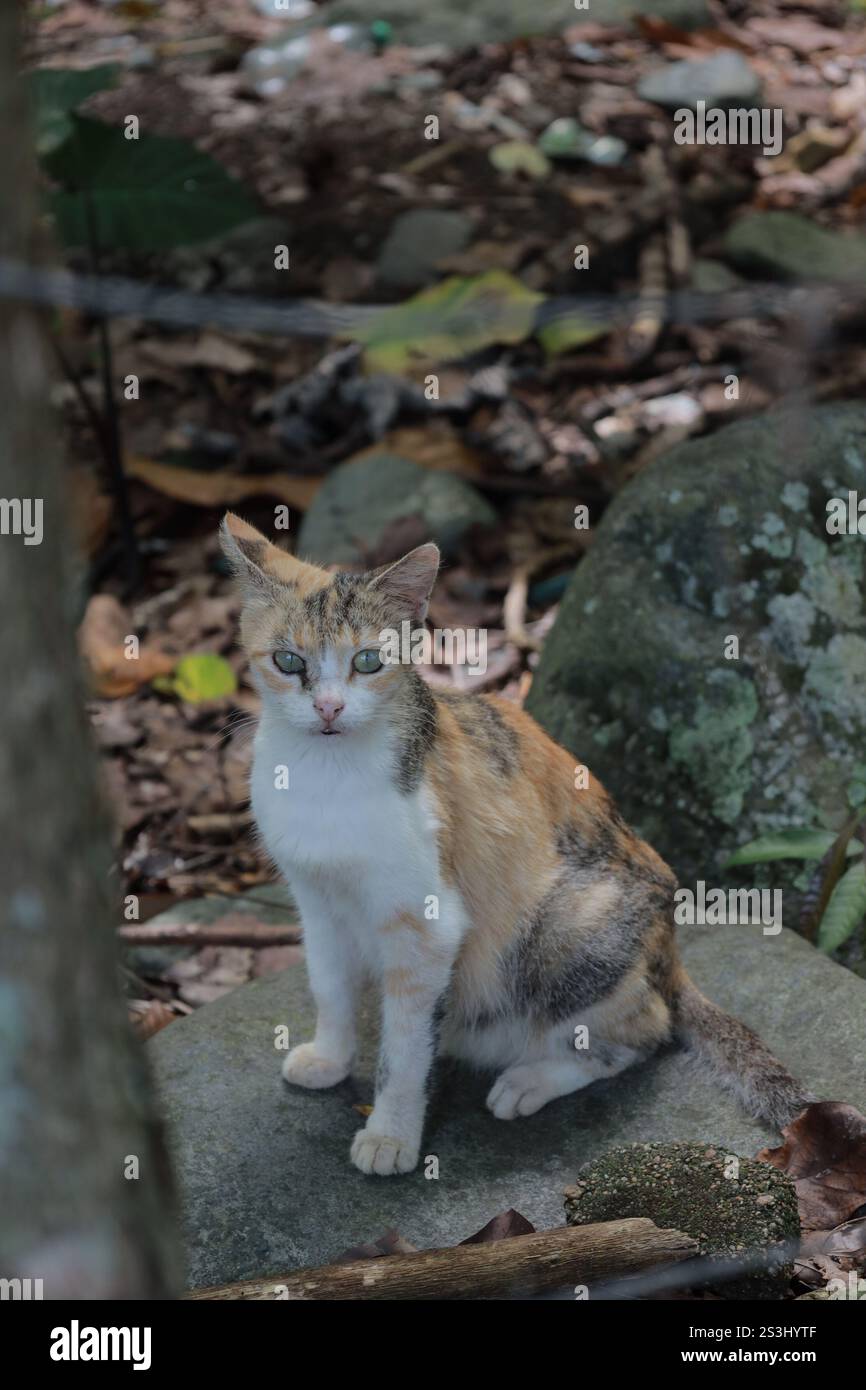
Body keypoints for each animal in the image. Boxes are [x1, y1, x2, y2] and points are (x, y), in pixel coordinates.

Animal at [222, 511, 811, 1173]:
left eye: (369, 661)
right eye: (289, 661)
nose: (327, 708)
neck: (326, 774)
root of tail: (670, 955)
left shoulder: (429, 926)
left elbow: (404, 1050)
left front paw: (390, 1135)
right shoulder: (316, 901)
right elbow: (329, 987)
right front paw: (329, 1057)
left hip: (564, 927)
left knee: (644, 1030)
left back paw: (530, 1080)